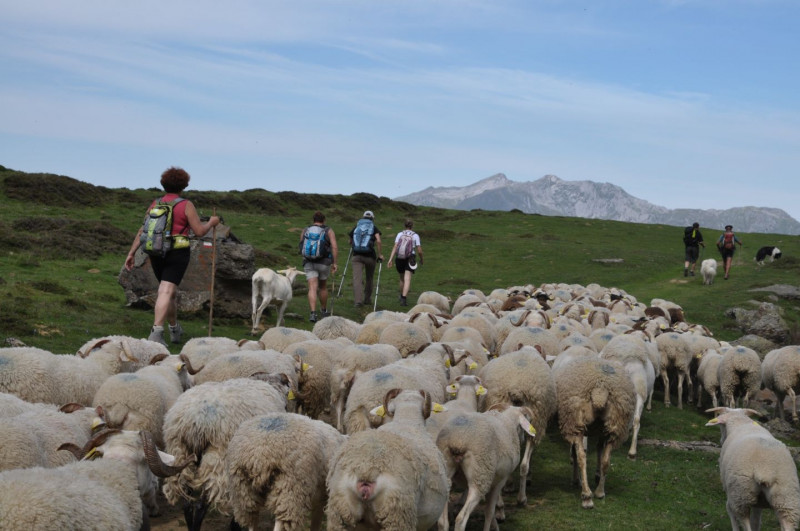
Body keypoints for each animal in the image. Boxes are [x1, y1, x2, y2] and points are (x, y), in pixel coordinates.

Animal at [552, 356, 636, 510]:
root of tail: (600, 388)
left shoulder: (575, 428)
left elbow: (576, 453)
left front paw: (577, 480)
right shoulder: (602, 431)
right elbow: (599, 450)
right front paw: (597, 475)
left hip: (575, 422)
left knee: (581, 457)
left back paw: (586, 496)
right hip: (614, 427)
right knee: (606, 460)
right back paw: (599, 492)